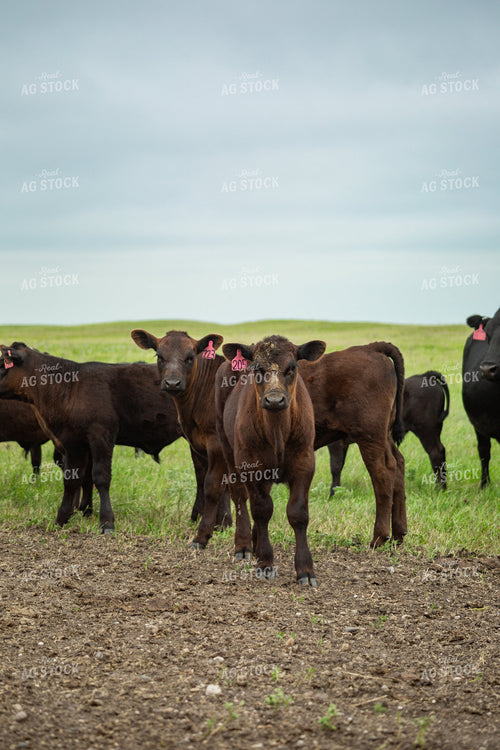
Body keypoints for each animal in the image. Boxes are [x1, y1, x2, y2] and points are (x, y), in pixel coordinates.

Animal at [0, 342, 209, 532]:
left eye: (2, 364)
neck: (69, 387)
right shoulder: (73, 442)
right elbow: (72, 480)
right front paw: (62, 519)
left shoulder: (101, 436)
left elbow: (100, 477)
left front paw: (106, 522)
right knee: (202, 475)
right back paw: (199, 518)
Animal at [131, 329, 232, 546]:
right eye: (159, 356)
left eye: (190, 357)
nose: (172, 383)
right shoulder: (197, 443)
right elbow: (204, 480)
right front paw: (220, 524)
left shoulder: (216, 442)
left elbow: (213, 485)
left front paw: (205, 533)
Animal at [216, 335, 326, 585]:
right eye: (257, 368)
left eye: (292, 368)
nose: (274, 400)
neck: (277, 431)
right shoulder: (250, 466)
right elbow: (261, 509)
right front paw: (265, 562)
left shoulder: (305, 463)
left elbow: (298, 513)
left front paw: (305, 569)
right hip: (228, 450)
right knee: (240, 498)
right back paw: (244, 545)